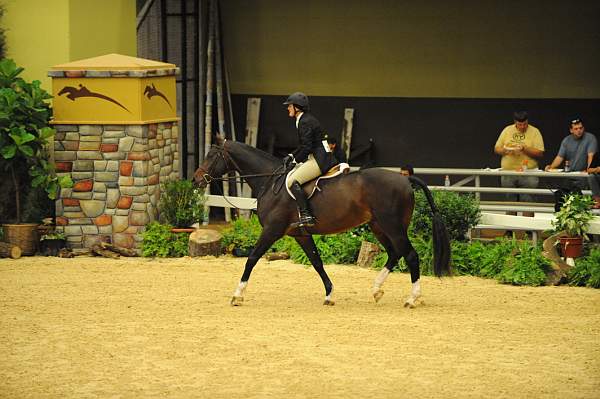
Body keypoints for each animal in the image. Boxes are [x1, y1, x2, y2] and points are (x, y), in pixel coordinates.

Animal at [193, 139, 450, 308]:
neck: (270, 181)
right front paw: (329, 295)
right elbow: (317, 262)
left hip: (392, 226)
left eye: (211, 156)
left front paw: (237, 295)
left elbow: (252, 258)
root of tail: (405, 180)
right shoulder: (301, 234)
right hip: (379, 226)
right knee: (395, 253)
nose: (196, 179)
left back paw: (412, 299)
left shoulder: (272, 230)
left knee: (411, 256)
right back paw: (376, 291)